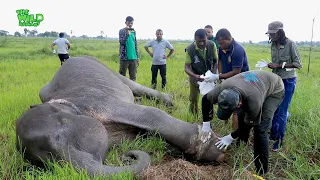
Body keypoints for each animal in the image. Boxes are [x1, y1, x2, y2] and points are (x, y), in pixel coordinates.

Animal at [15, 56, 225, 177]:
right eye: (40, 163)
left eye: (59, 135)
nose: (128, 157)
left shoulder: (99, 103)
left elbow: (151, 113)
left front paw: (214, 149)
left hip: (110, 70)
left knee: (133, 86)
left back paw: (169, 102)